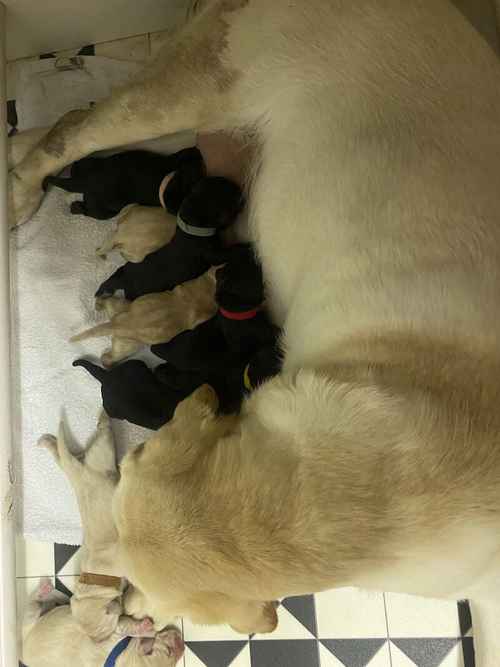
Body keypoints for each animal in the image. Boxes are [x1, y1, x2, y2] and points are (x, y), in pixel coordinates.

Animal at [22, 580, 184, 667]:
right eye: (169, 651)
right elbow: (128, 624)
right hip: (30, 619)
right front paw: (146, 627)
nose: (182, 645)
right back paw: (44, 590)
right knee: (31, 605)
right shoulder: (114, 630)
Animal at [43, 146, 203, 219]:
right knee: (89, 211)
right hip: (104, 211)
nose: (197, 151)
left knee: (78, 166)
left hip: (89, 162)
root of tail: (86, 181)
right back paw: (76, 207)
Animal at [70, 268, 217, 368]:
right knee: (107, 359)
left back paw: (99, 304)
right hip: (129, 345)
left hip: (119, 305)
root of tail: (116, 323)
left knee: (105, 301)